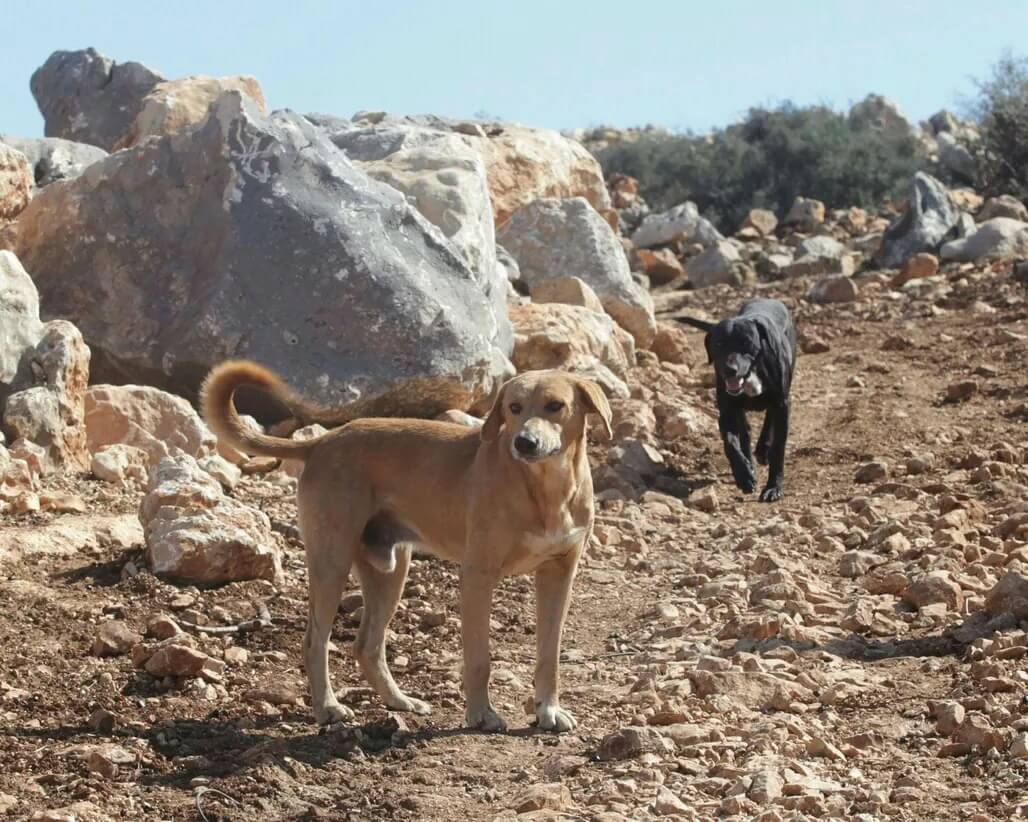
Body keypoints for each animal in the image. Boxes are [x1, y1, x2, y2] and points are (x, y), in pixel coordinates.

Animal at [200, 361, 608, 731]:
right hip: (331, 561)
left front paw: (548, 711)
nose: (524, 442)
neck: (547, 490)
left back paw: (398, 701)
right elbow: (479, 658)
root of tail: (322, 443)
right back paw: (328, 708)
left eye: (555, 405)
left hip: (390, 570)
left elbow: (549, 656)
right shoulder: (478, 576)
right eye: (514, 407)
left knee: (367, 645)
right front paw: (481, 715)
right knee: (315, 641)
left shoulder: (559, 574)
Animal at [678, 300, 797, 501]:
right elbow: (731, 444)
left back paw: (763, 448)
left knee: (768, 419)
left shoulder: (783, 404)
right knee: (745, 433)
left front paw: (773, 487)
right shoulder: (726, 412)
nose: (730, 369)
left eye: (746, 342)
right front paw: (744, 476)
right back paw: (750, 462)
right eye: (719, 343)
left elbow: (778, 449)